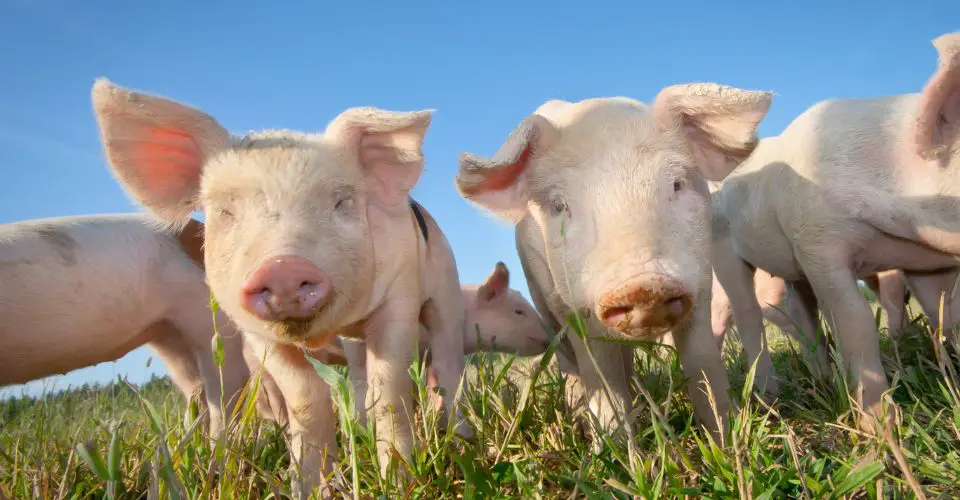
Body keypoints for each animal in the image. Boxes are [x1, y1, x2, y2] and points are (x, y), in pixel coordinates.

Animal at [91, 78, 468, 495]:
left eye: (342, 201)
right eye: (225, 212)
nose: (283, 266)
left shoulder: (399, 293)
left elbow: (390, 388)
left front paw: (397, 484)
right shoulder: (256, 334)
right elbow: (305, 397)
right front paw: (309, 487)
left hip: (446, 289)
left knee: (448, 361)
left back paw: (462, 436)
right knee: (358, 377)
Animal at [454, 83, 774, 444]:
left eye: (677, 183)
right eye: (559, 206)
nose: (642, 286)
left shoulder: (701, 280)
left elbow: (701, 359)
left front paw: (727, 437)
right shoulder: (572, 307)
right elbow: (601, 373)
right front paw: (613, 449)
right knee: (570, 363)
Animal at [711, 31, 960, 433]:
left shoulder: (923, 262)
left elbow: (945, 313)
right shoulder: (819, 243)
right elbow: (856, 321)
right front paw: (881, 428)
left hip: (791, 267)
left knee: (805, 316)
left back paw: (823, 378)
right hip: (723, 249)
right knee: (747, 314)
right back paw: (769, 399)